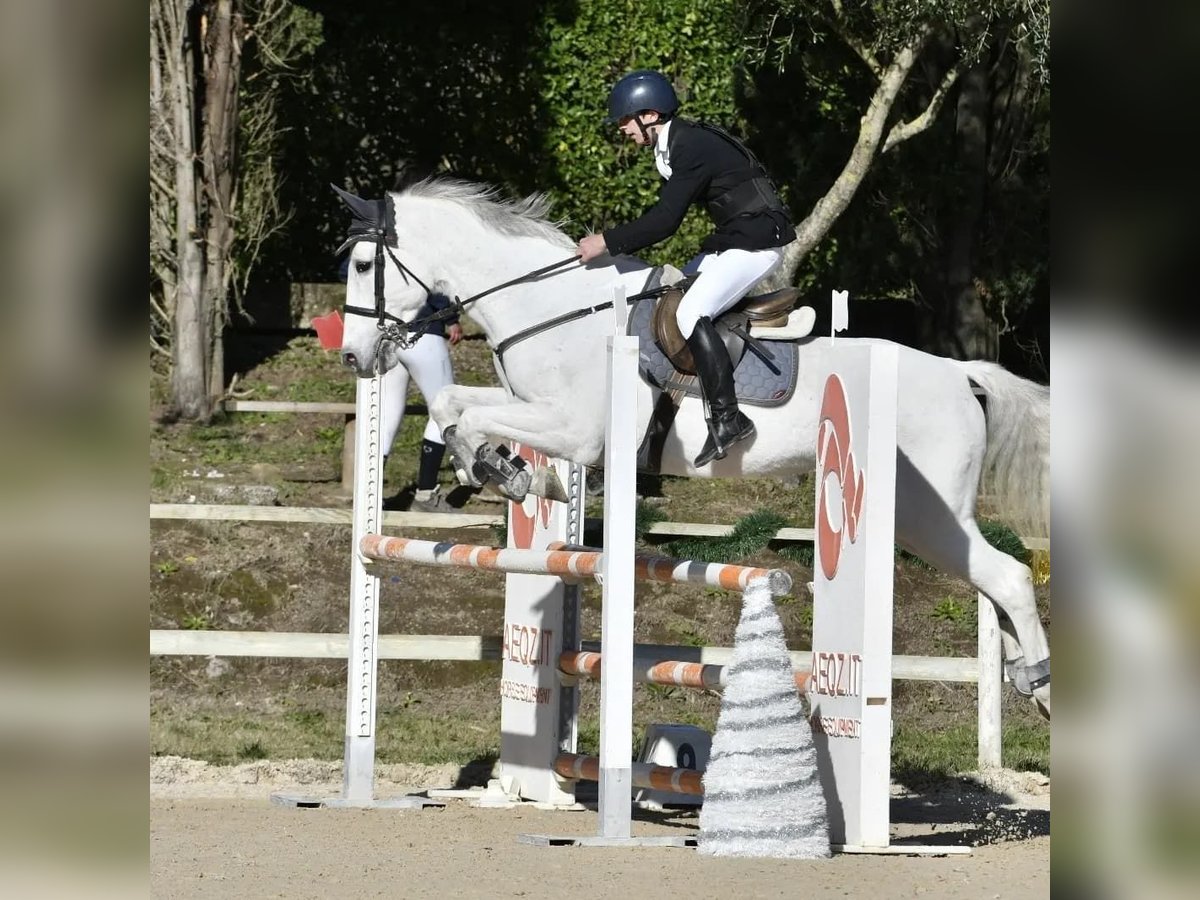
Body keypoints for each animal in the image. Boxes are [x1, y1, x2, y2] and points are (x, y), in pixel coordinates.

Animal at [338, 177, 1051, 720]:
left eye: (365, 267)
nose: (353, 357)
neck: (551, 309)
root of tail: (961, 374)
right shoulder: (540, 412)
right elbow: (455, 407)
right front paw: (515, 474)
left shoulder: (576, 428)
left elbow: (466, 412)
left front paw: (504, 473)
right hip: (921, 517)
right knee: (993, 580)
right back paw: (1024, 675)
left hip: (925, 513)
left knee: (1008, 577)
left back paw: (1040, 682)